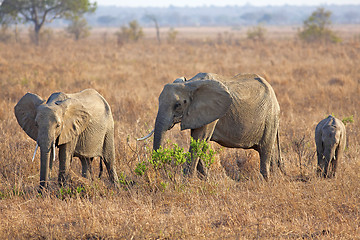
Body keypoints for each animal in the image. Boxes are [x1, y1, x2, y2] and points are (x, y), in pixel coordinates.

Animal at [139, 72, 286, 179]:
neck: (189, 84)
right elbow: (198, 143)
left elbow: (198, 141)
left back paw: (266, 182)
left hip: (270, 117)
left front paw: (186, 183)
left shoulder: (211, 113)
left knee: (265, 150)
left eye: (178, 105)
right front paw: (206, 180)